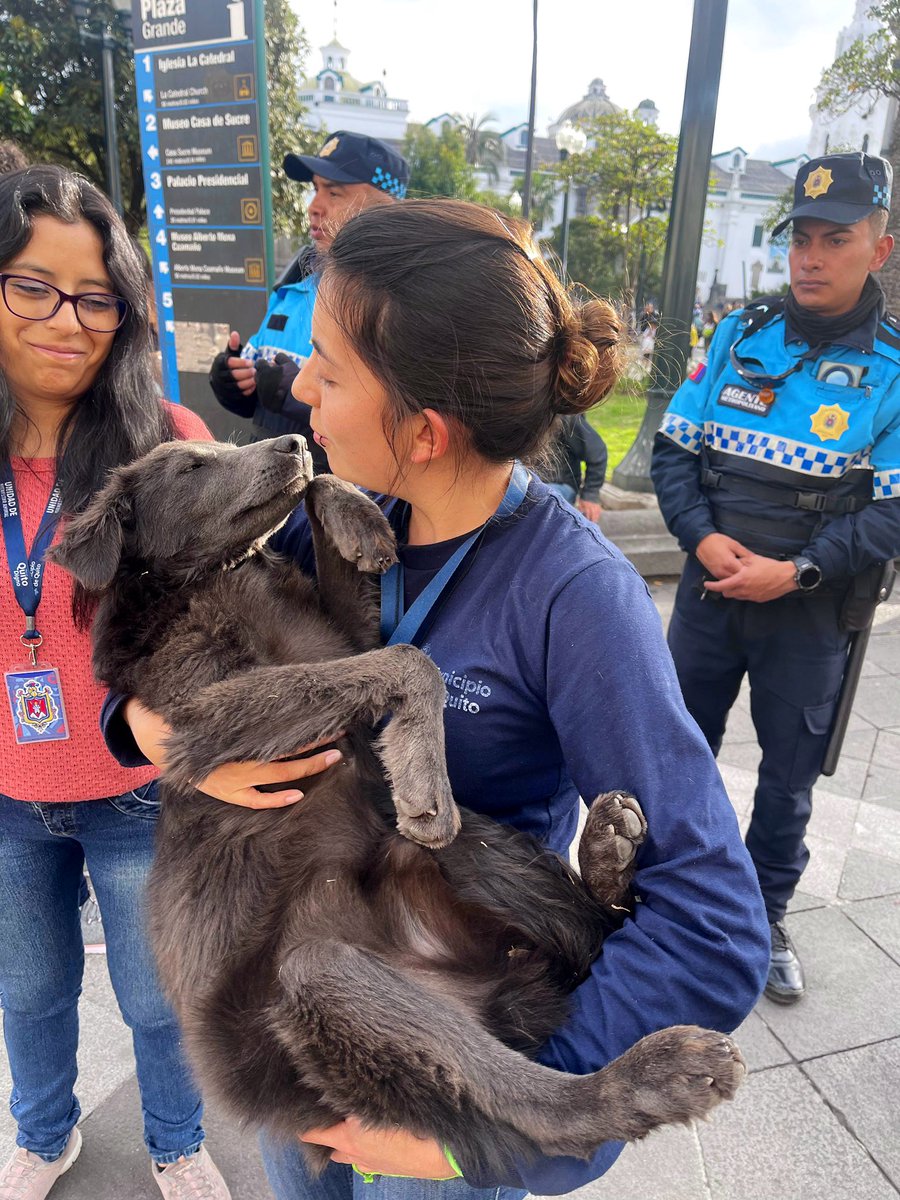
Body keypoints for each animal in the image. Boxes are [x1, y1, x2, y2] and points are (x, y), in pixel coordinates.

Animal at [54, 436, 748, 1176]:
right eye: (191, 468)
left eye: (225, 447)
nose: (292, 442)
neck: (215, 580)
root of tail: (492, 998)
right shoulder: (202, 717)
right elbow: (408, 659)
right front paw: (422, 766)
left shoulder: (340, 640)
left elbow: (367, 611)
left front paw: (355, 515)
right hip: (324, 980)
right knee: (535, 1104)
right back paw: (648, 1074)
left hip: (466, 859)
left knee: (589, 937)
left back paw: (608, 858)